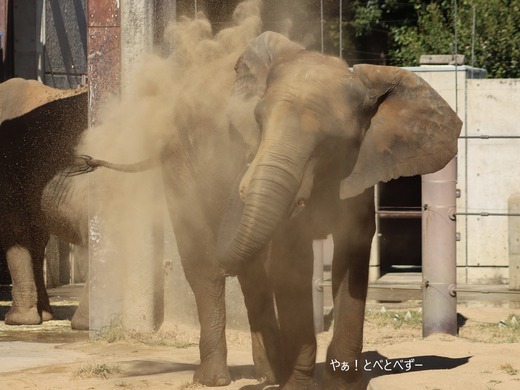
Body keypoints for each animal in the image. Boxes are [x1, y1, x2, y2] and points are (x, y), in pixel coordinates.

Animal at [216, 32, 464, 390]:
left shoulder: (358, 180)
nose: (244, 177)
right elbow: (293, 262)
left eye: (331, 141)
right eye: (259, 121)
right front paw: (297, 384)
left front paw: (343, 382)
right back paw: (272, 374)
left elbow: (352, 254)